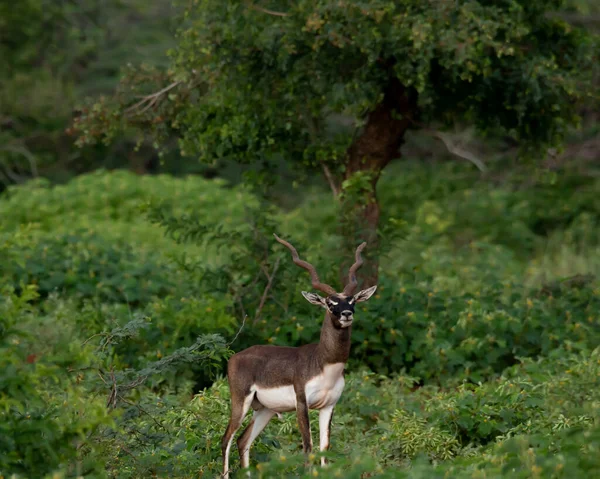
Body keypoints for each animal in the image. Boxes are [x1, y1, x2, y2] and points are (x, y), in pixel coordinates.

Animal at [223, 233, 378, 476]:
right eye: (330, 303)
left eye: (352, 300)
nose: (346, 313)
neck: (324, 364)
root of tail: (234, 357)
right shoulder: (301, 402)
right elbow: (308, 446)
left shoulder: (329, 406)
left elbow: (325, 447)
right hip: (241, 402)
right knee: (226, 440)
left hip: (265, 410)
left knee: (243, 441)